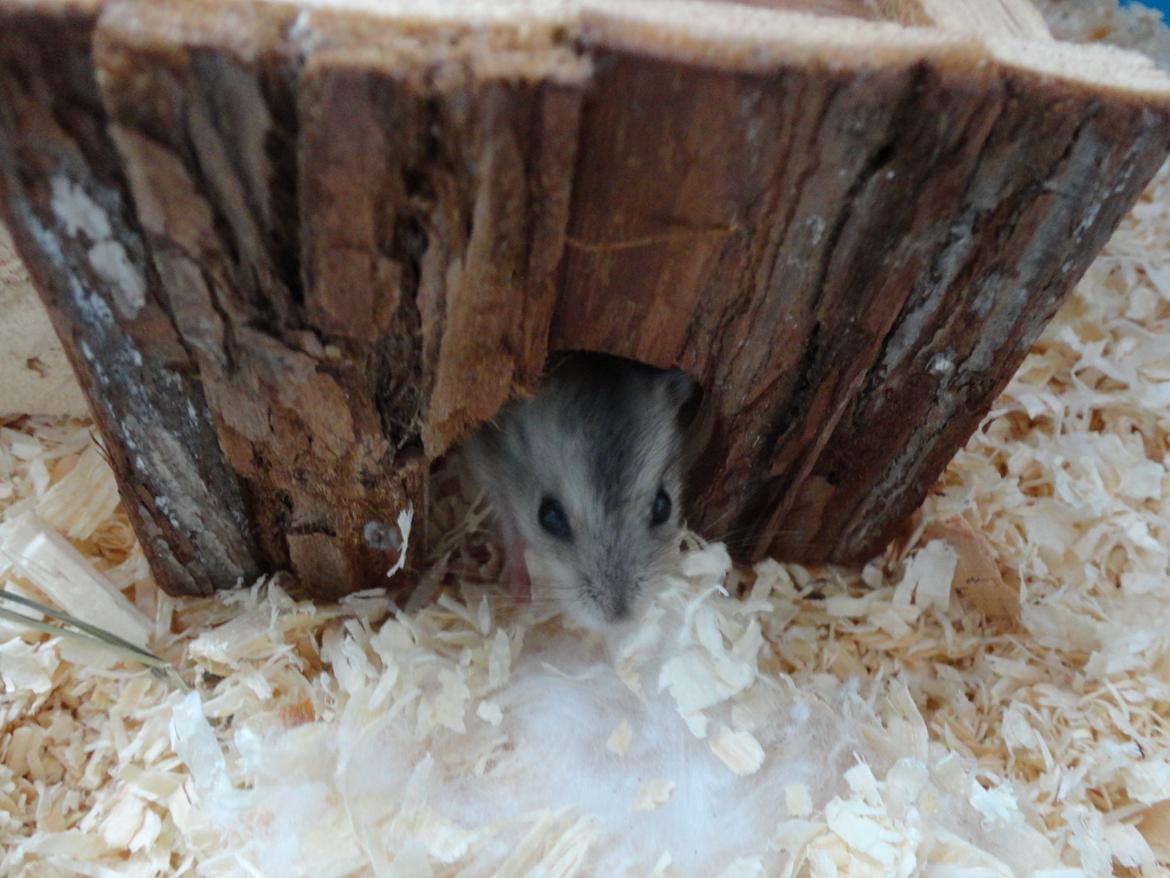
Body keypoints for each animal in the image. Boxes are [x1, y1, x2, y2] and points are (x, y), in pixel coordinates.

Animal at [463, 351, 703, 628]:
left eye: (664, 506)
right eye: (549, 517)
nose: (619, 619)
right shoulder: (488, 465)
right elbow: (508, 523)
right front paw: (519, 593)